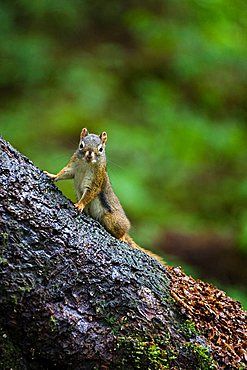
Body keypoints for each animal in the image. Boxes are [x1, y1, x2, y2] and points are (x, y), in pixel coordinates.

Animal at [44, 129, 164, 264]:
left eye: (101, 149)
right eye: (81, 145)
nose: (89, 155)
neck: (86, 164)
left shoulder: (96, 179)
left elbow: (90, 193)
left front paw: (80, 204)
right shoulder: (73, 167)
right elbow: (64, 173)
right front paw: (52, 176)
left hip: (112, 219)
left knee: (122, 231)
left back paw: (122, 237)